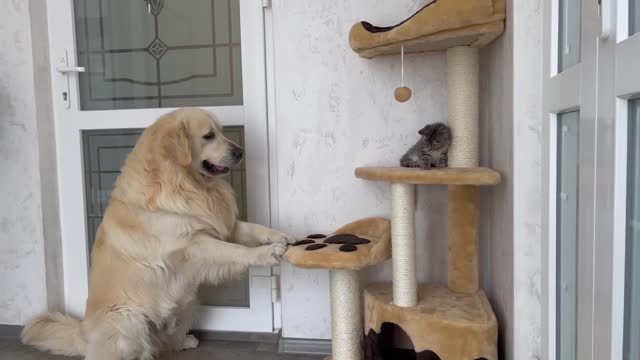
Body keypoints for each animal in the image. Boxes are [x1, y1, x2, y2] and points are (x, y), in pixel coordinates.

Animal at [21, 109, 296, 360]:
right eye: (208, 135)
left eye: (220, 131)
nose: (240, 151)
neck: (187, 184)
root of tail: (82, 333)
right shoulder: (193, 245)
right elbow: (235, 250)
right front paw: (266, 253)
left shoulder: (222, 226)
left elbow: (255, 228)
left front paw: (284, 236)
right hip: (129, 321)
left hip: (187, 301)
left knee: (166, 342)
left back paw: (184, 341)